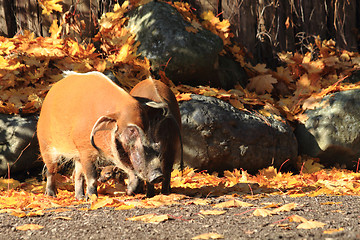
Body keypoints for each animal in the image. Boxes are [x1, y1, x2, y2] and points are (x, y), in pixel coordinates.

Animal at [37, 71, 169, 199]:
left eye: (147, 127)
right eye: (132, 130)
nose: (158, 176)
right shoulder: (85, 149)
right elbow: (92, 177)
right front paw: (93, 198)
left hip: (76, 155)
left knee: (78, 175)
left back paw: (80, 198)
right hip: (45, 145)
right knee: (51, 170)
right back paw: (52, 195)